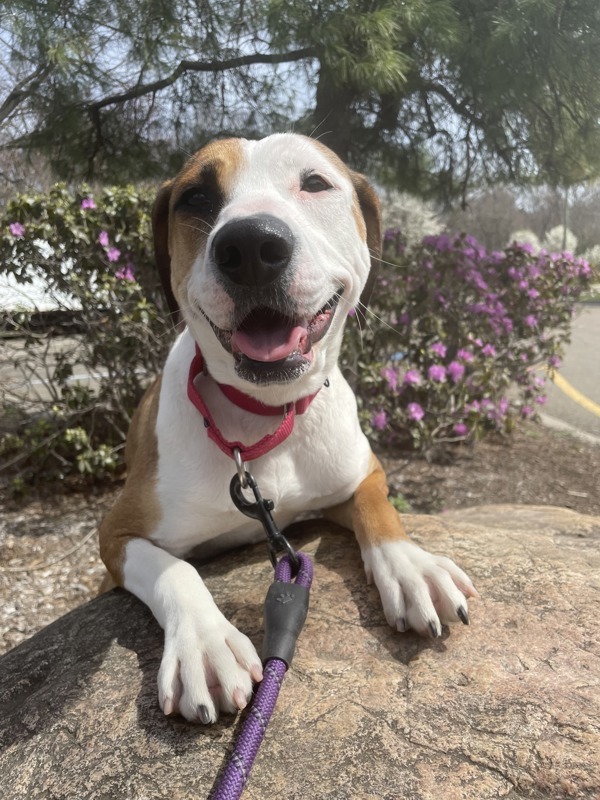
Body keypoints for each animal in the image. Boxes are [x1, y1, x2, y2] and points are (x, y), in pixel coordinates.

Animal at [98, 133, 476, 724]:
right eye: (195, 197)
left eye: (315, 182)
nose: (250, 245)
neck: (265, 415)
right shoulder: (115, 534)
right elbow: (173, 570)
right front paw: (205, 643)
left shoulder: (358, 473)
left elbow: (380, 511)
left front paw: (412, 567)